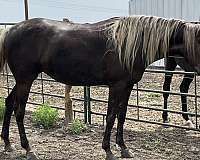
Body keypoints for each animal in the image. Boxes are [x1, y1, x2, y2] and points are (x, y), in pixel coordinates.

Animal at [0, 15, 199, 160]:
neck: (130, 44)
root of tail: (10, 31)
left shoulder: (127, 87)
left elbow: (121, 116)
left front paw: (124, 148)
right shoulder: (116, 86)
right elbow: (110, 117)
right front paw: (108, 151)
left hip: (21, 81)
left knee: (9, 103)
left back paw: (8, 143)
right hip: (26, 80)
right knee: (19, 111)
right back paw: (28, 149)